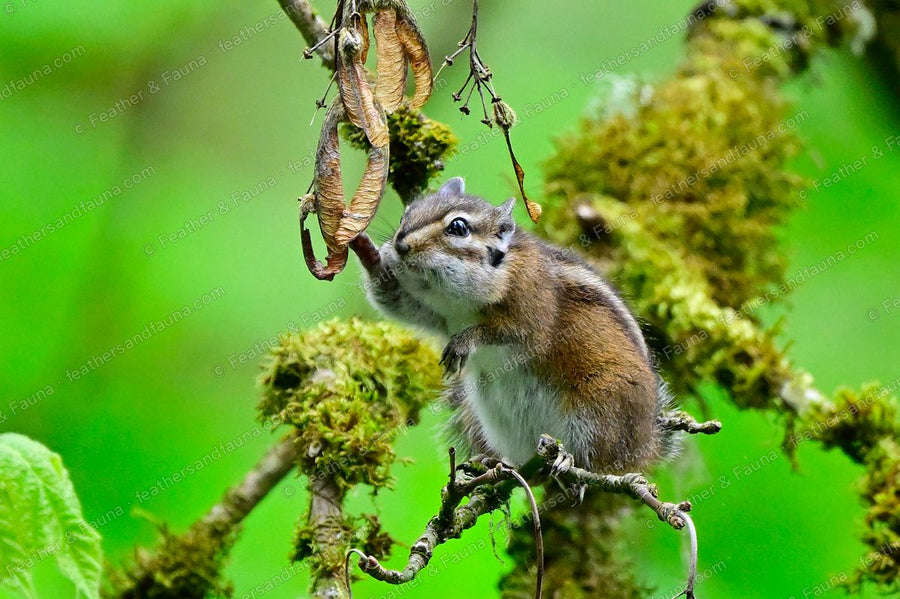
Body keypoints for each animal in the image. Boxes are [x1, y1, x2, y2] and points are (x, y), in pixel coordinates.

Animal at [352, 177, 676, 475]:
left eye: (458, 228)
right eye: (407, 214)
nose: (400, 244)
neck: (461, 301)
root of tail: (646, 444)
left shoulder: (532, 312)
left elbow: (508, 333)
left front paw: (464, 342)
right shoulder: (436, 315)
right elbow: (395, 303)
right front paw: (371, 253)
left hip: (599, 407)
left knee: (596, 462)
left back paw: (567, 457)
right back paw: (496, 463)